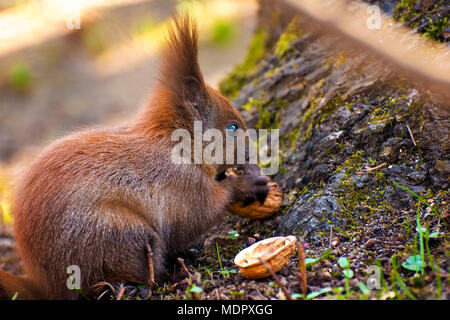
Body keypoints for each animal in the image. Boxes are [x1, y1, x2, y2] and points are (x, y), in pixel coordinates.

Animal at [0, 15, 268, 300]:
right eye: (232, 127)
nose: (252, 157)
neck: (178, 144)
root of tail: (43, 284)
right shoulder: (181, 185)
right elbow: (199, 213)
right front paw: (247, 185)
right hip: (122, 236)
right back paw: (167, 277)